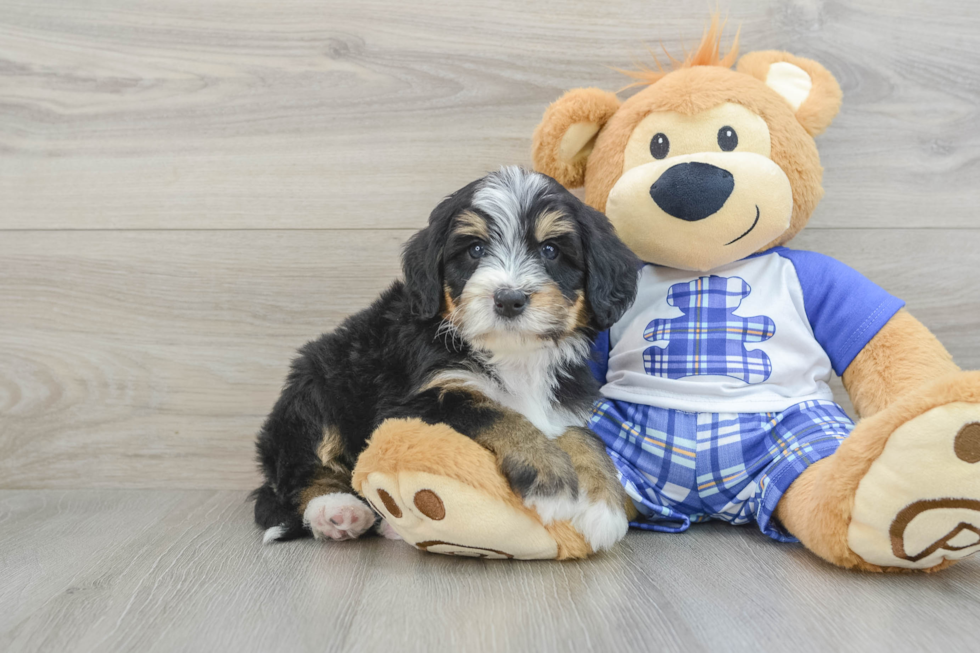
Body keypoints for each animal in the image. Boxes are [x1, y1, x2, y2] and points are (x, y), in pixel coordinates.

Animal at [255, 167, 636, 552]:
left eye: (550, 250)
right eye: (475, 249)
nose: (509, 299)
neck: (513, 355)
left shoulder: (567, 401)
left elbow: (584, 437)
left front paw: (601, 506)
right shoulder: (413, 402)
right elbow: (496, 413)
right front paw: (549, 477)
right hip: (315, 386)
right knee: (300, 474)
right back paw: (336, 512)